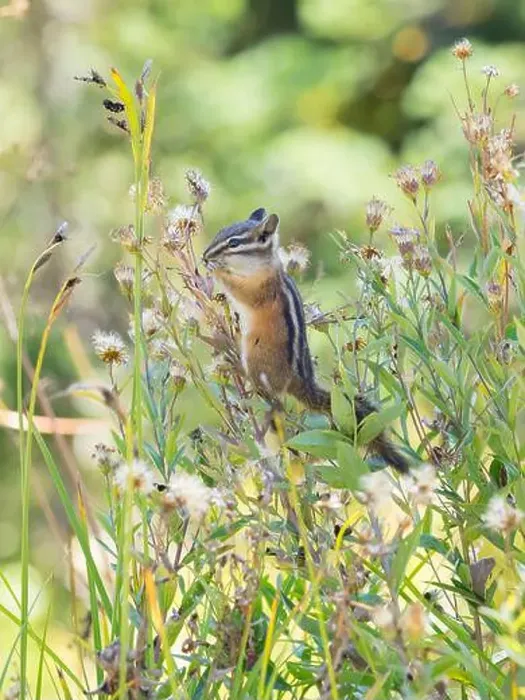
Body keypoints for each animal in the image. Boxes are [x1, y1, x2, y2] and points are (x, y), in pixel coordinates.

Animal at [202, 208, 408, 473]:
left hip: (256, 358)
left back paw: (237, 366)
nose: (205, 255)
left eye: (234, 243)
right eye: (220, 232)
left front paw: (216, 270)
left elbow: (241, 291)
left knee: (270, 398)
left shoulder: (260, 289)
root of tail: (300, 382)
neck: (263, 267)